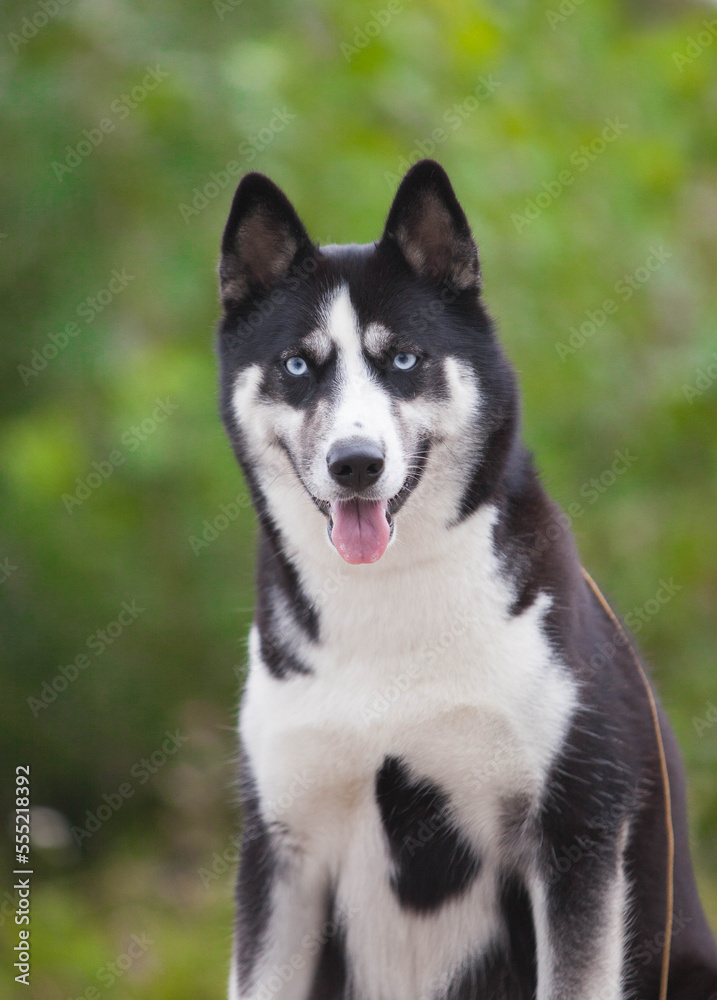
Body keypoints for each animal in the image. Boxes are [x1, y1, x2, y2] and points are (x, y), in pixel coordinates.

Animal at [215, 162, 716, 1000]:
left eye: (402, 359)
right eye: (297, 364)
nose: (356, 463)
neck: (388, 601)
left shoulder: (574, 831)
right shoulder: (281, 847)